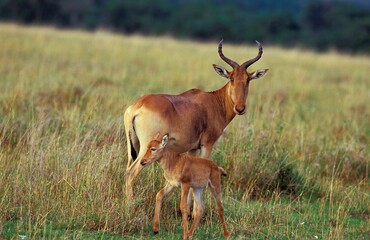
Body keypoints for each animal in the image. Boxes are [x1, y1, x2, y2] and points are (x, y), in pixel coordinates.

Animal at [125, 39, 268, 197]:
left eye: (248, 79)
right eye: (231, 78)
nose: (240, 108)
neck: (213, 101)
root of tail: (138, 106)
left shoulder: (192, 149)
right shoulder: (207, 144)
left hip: (133, 147)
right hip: (146, 148)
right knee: (131, 172)